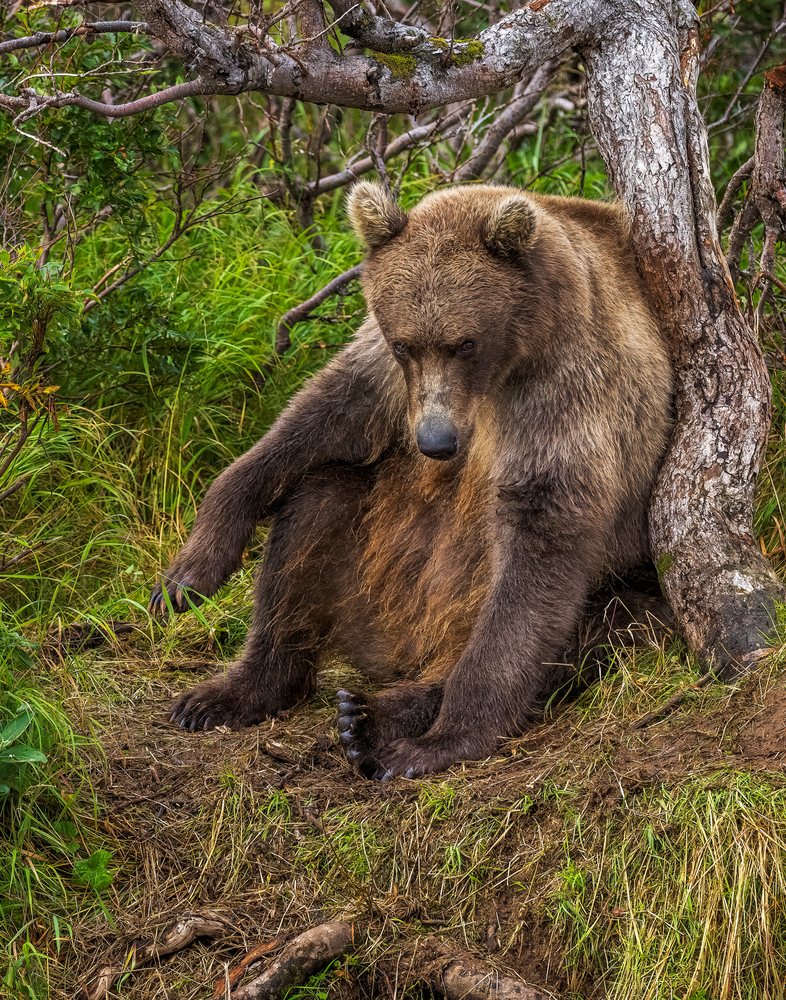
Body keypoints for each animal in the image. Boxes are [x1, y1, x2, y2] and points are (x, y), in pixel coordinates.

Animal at [150, 182, 673, 780]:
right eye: (407, 344)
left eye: (465, 342)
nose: (435, 442)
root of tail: (407, 647)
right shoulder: (384, 368)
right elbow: (326, 414)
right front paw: (187, 576)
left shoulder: (567, 391)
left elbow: (539, 546)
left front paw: (445, 738)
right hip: (377, 561)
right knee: (314, 511)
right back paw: (235, 690)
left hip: (616, 581)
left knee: (583, 632)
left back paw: (372, 720)